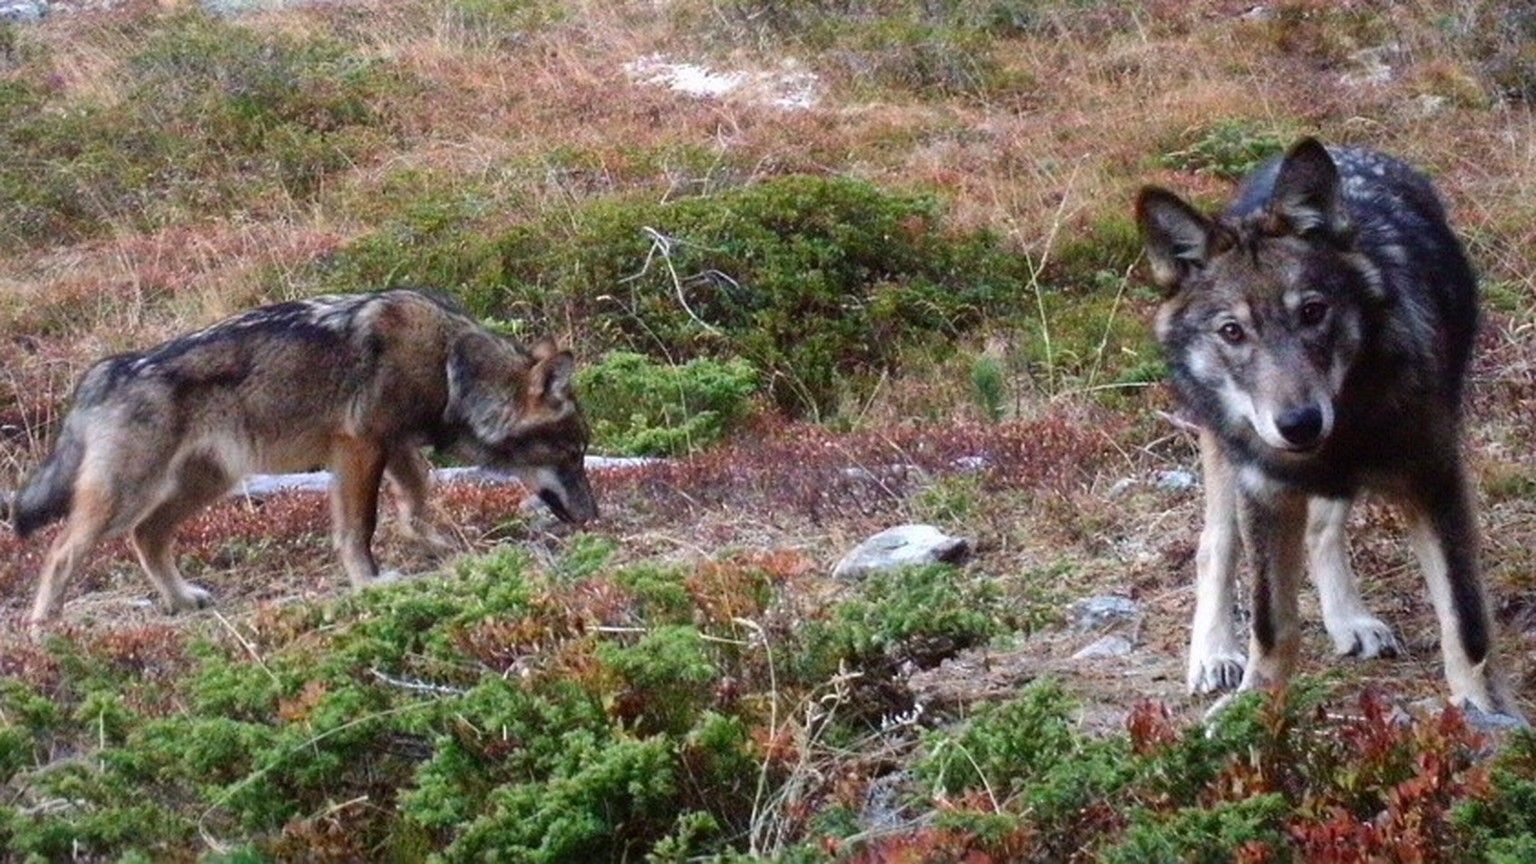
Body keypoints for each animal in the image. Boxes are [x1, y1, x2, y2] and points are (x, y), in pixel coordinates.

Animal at [9, 289, 595, 624]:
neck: (450, 364)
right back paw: (43, 634)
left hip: (204, 485)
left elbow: (416, 501)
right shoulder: (360, 446)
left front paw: (438, 545)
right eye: (571, 452)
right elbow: (360, 526)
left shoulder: (394, 446)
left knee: (147, 537)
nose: (594, 517)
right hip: (126, 497)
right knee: (60, 552)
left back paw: (181, 601)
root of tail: (103, 372)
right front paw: (370, 585)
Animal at [1136, 136, 1517, 713]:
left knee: (1320, 530)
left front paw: (1481, 712)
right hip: (1224, 456)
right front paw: (1253, 709)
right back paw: (1214, 653)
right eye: (1232, 331)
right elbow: (1271, 625)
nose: (1299, 424)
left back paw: (1350, 621)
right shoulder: (1265, 493)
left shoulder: (1437, 485)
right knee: (1214, 544)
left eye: (1313, 312)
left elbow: (1465, 621)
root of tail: (1346, 146)